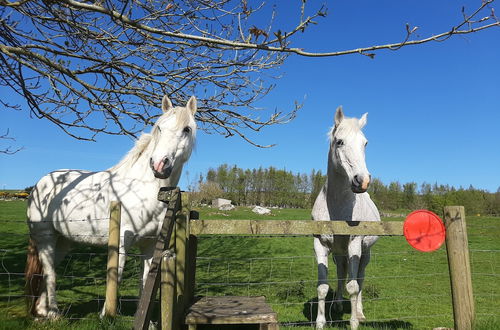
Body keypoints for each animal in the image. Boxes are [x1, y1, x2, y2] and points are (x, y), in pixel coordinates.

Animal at [25, 95, 197, 320]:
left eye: (187, 129)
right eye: (159, 127)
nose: (160, 165)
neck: (142, 190)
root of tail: (40, 183)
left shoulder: (150, 245)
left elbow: (146, 283)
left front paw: (146, 321)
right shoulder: (122, 243)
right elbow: (117, 276)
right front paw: (106, 316)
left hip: (62, 241)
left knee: (50, 269)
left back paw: (42, 311)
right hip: (45, 237)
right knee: (49, 272)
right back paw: (54, 313)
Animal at [312, 107, 378, 328]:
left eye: (365, 143)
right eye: (339, 141)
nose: (362, 181)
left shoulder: (354, 244)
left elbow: (354, 286)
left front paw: (354, 322)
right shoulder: (320, 245)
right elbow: (323, 286)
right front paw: (320, 323)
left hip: (364, 253)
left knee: (360, 278)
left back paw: (360, 312)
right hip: (338, 253)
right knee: (342, 273)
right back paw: (339, 305)